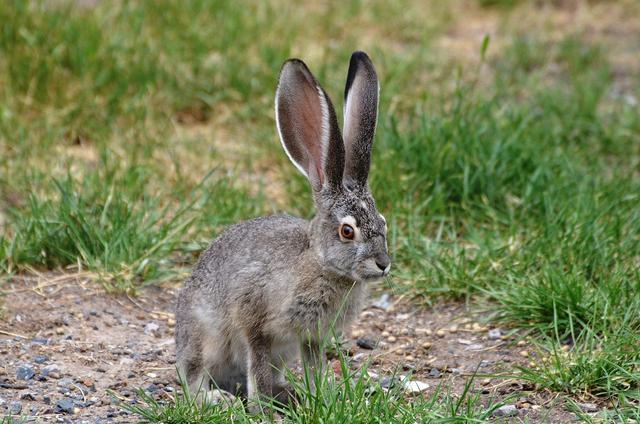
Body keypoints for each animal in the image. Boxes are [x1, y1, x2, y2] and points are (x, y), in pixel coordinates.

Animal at [175, 52, 390, 408]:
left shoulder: (310, 337)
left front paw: (322, 396)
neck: (321, 264)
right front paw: (261, 406)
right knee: (194, 378)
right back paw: (219, 399)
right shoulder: (255, 320)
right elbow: (257, 363)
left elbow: (314, 364)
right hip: (205, 337)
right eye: (347, 231)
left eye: (383, 221)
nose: (383, 264)